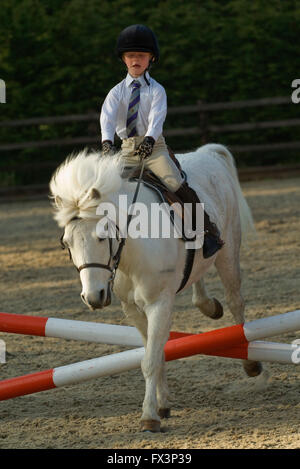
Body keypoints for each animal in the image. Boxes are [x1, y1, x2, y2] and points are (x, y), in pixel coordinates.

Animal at [50, 143, 262, 432]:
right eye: (66, 243)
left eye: (102, 236)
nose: (94, 296)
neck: (131, 252)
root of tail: (206, 153)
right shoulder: (133, 309)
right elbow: (156, 352)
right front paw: (162, 404)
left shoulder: (159, 304)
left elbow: (150, 360)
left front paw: (149, 416)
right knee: (198, 279)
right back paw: (209, 306)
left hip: (228, 255)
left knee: (235, 301)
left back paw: (250, 362)